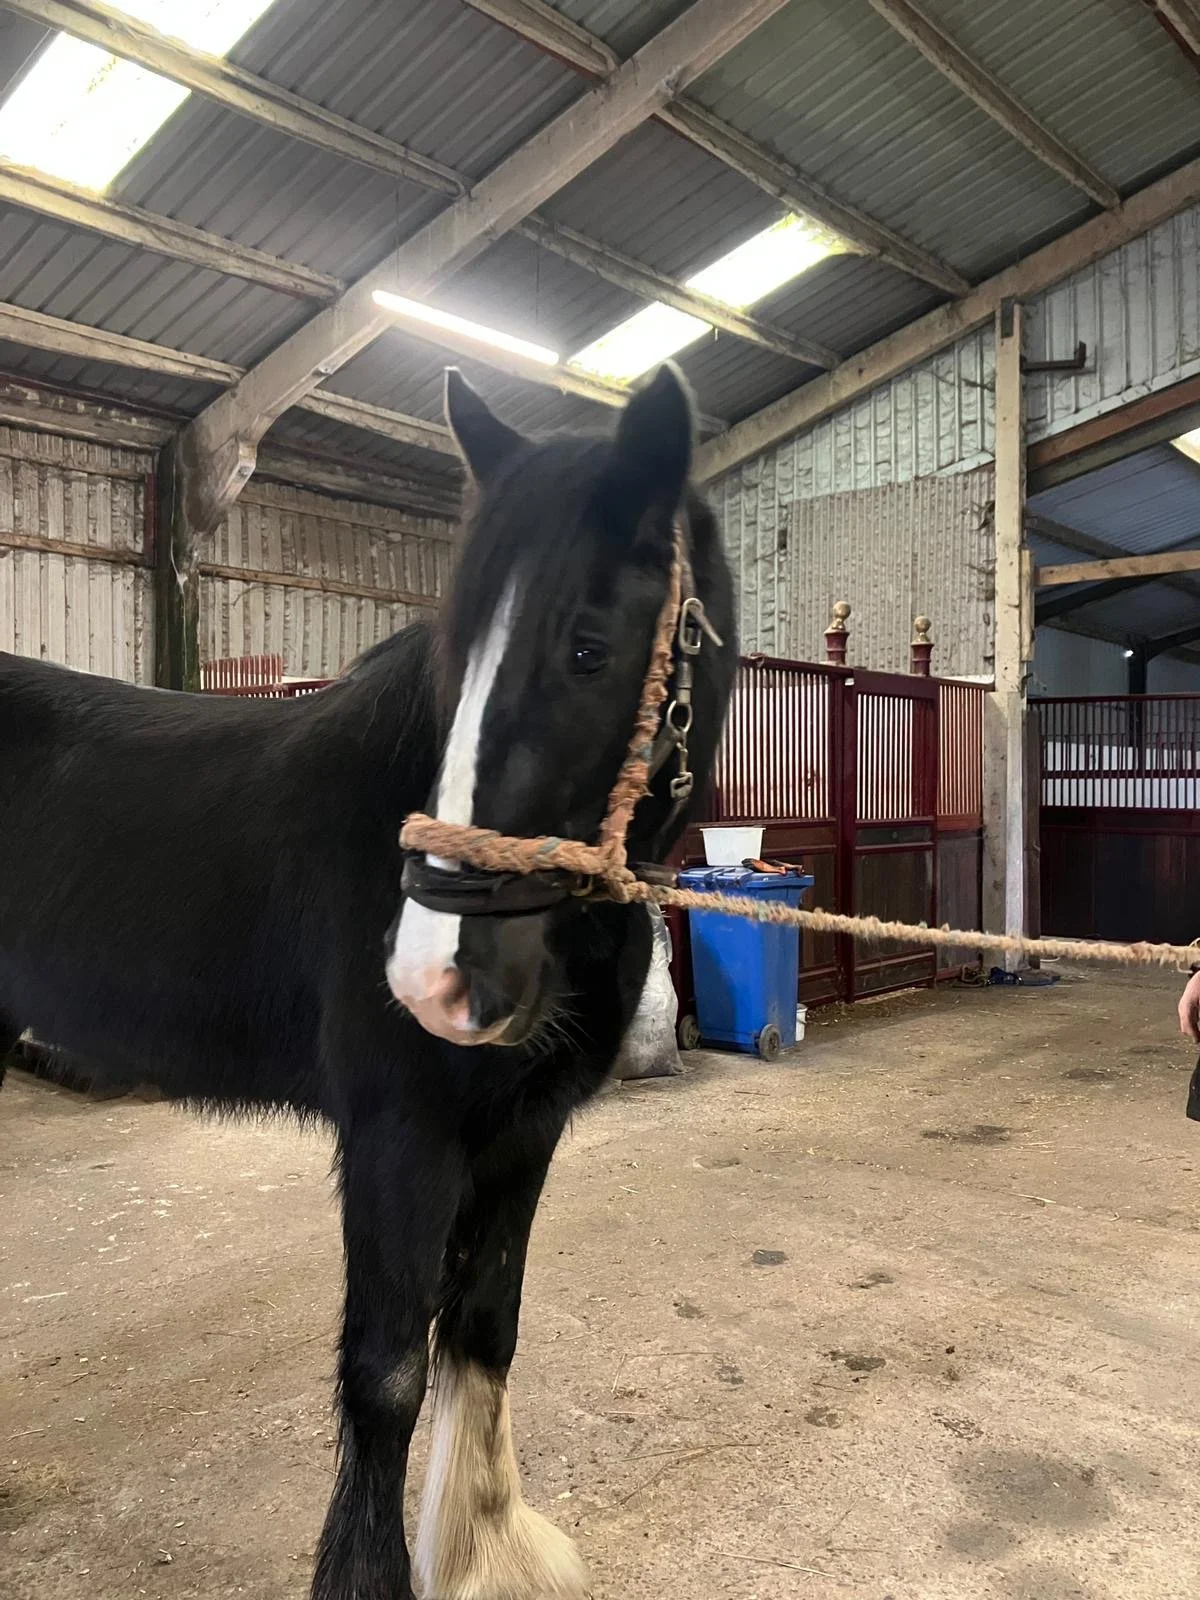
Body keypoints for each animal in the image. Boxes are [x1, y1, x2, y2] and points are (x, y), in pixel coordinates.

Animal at [0, 360, 736, 1600]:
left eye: (587, 647)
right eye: (457, 655)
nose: (434, 972)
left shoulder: (523, 1134)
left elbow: (485, 1327)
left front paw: (486, 1549)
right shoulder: (402, 1136)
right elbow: (386, 1369)